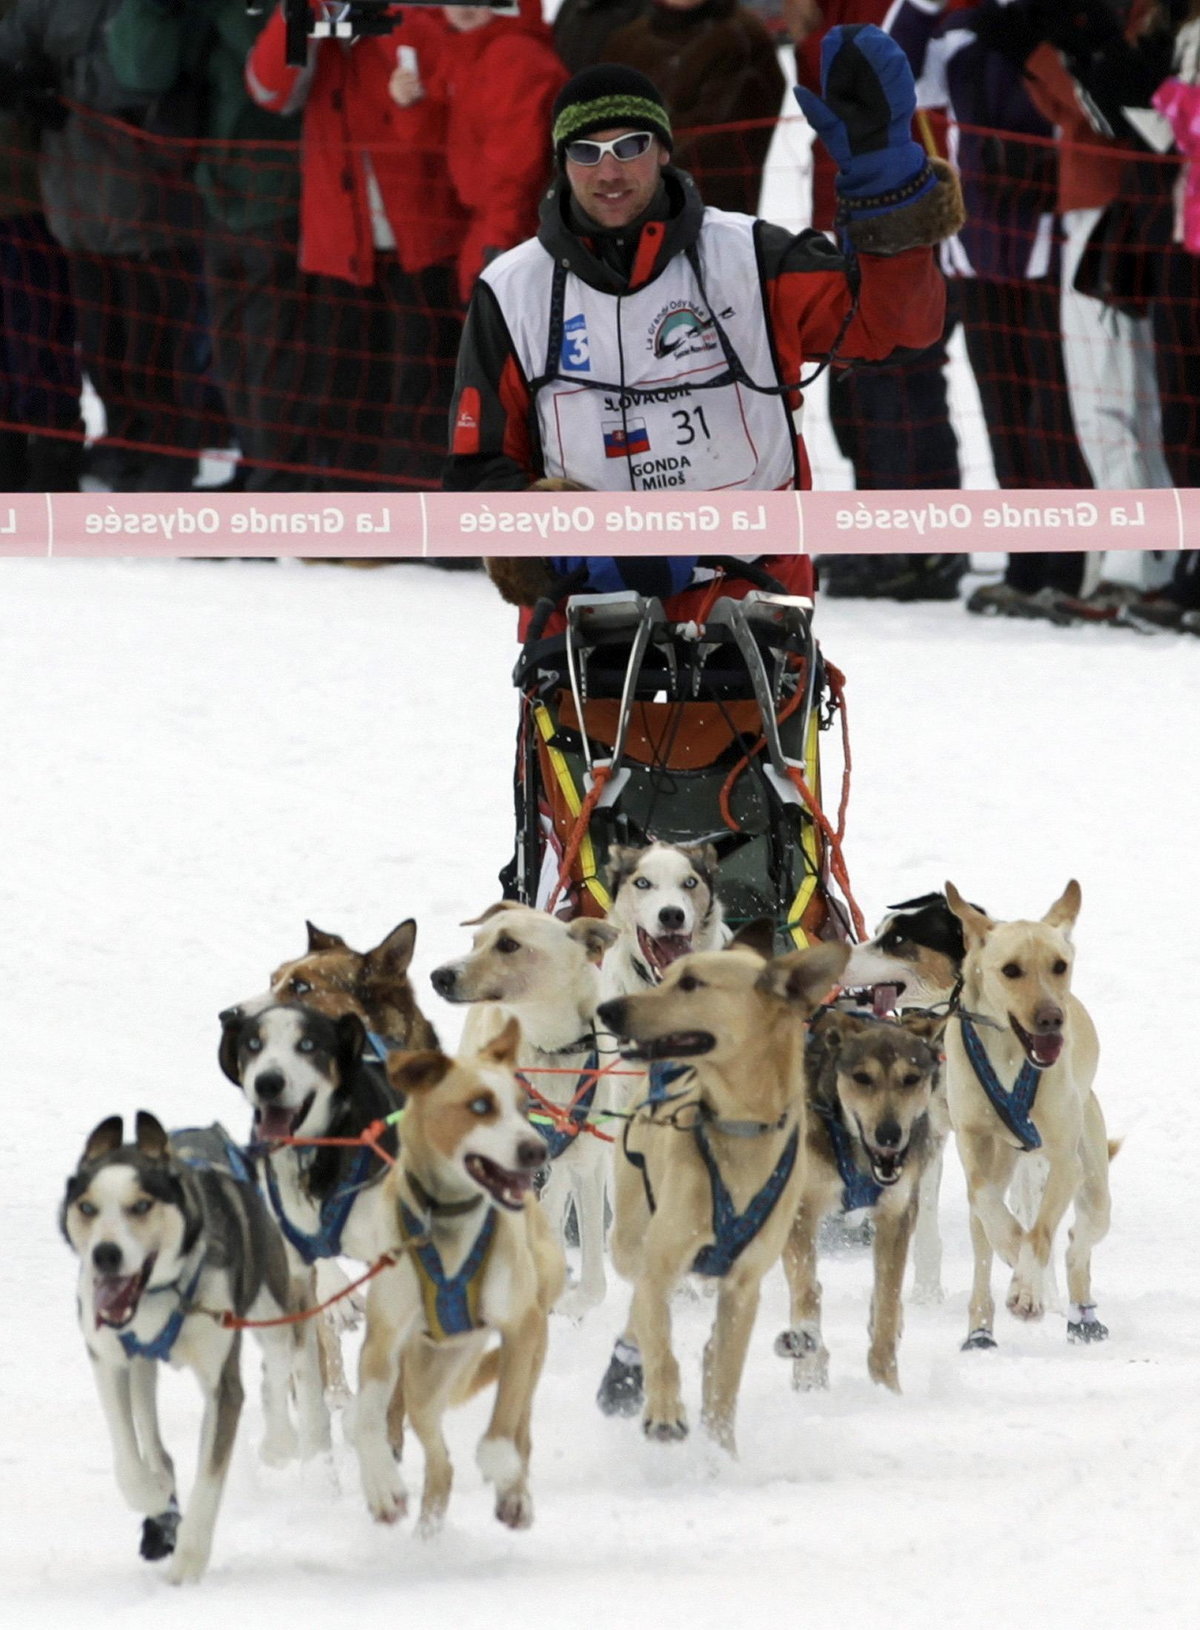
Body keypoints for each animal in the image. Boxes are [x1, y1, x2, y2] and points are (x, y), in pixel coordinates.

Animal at [352, 1023, 567, 1532]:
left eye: (523, 1106)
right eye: (480, 1106)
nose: (536, 1149)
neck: (444, 1217)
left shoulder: (522, 1325)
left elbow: (505, 1421)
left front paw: (499, 1465)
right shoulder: (383, 1339)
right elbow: (366, 1417)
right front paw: (382, 1486)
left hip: (529, 1335)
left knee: (522, 1422)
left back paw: (514, 1492)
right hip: (426, 1378)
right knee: (440, 1462)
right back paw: (427, 1535)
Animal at [596, 932, 847, 1453]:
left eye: (691, 983)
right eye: (669, 977)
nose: (608, 1009)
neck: (741, 1128)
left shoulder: (742, 1288)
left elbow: (725, 1383)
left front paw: (718, 1454)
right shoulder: (661, 1262)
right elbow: (660, 1343)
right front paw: (664, 1410)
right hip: (630, 1240)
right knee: (640, 1306)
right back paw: (627, 1374)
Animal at [779, 1010, 945, 1395]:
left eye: (910, 1078)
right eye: (862, 1077)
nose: (889, 1134)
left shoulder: (896, 1215)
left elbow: (887, 1299)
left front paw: (887, 1387)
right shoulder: (800, 1212)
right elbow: (806, 1292)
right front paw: (809, 1375)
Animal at [939, 880, 1108, 1349]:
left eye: (1059, 966)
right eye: (1011, 970)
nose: (1052, 1017)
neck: (1010, 1053)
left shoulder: (1065, 1161)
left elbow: (1042, 1235)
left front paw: (1028, 1289)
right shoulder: (973, 1144)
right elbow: (989, 1207)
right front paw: (1013, 1253)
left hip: (1093, 1181)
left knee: (1077, 1241)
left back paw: (1081, 1314)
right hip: (1001, 1164)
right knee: (983, 1243)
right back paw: (980, 1329)